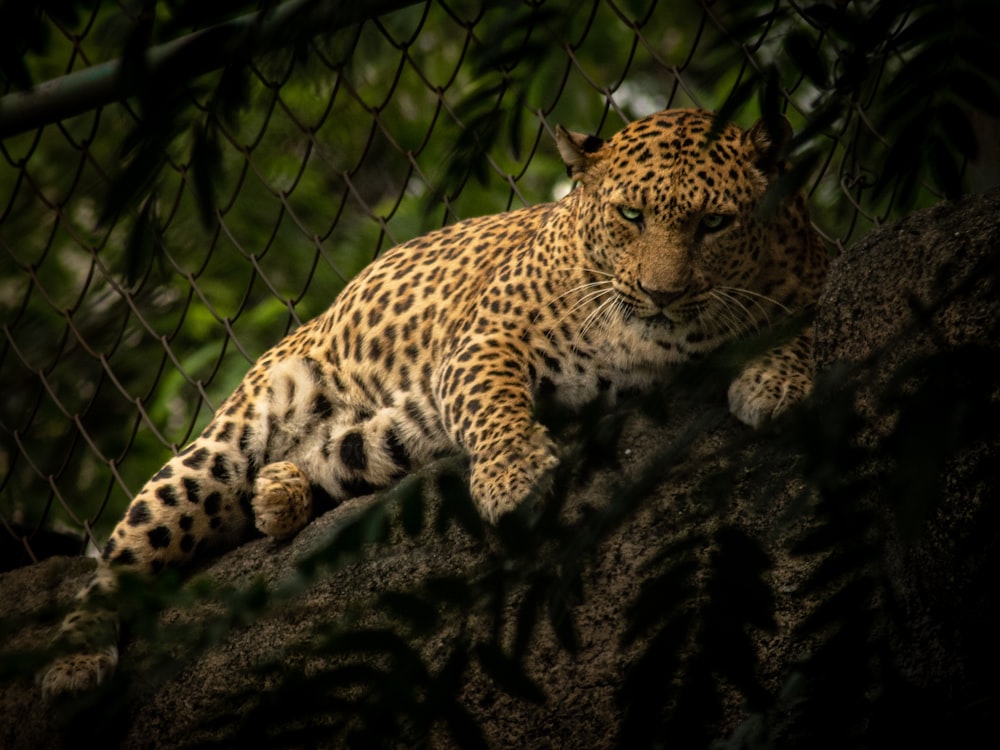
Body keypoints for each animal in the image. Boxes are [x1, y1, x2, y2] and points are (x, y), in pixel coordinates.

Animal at [37, 107, 828, 700]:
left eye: (716, 224)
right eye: (631, 215)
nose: (663, 293)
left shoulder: (799, 277)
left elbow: (798, 324)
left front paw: (776, 383)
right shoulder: (489, 336)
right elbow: (493, 403)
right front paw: (515, 477)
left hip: (371, 446)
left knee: (315, 465)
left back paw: (280, 496)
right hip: (227, 439)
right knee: (123, 556)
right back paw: (72, 666)